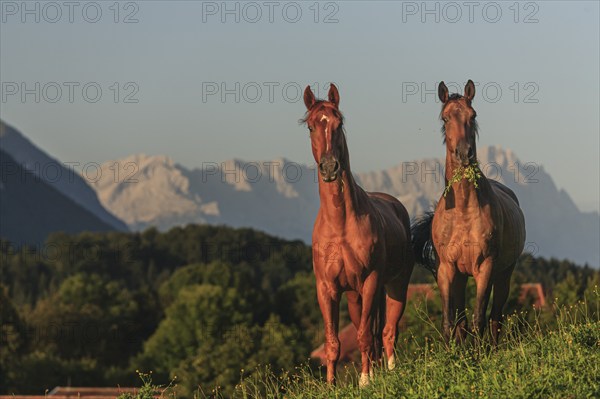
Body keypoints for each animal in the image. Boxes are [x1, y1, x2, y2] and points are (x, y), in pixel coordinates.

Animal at [302, 85, 414, 388]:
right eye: (311, 126)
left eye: (339, 123)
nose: (330, 168)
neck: (340, 226)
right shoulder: (326, 288)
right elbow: (333, 342)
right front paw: (331, 386)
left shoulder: (371, 281)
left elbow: (365, 335)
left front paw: (364, 381)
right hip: (355, 297)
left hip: (395, 285)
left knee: (387, 331)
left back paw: (389, 372)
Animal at [412, 79, 524, 346]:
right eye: (445, 118)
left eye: (473, 115)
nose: (464, 152)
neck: (463, 211)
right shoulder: (446, 270)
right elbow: (450, 321)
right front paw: (453, 353)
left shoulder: (486, 268)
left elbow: (479, 319)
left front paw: (479, 353)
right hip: (462, 277)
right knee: (464, 320)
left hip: (503, 274)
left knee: (495, 317)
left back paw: (491, 349)